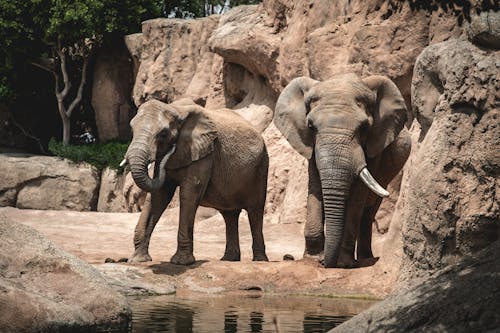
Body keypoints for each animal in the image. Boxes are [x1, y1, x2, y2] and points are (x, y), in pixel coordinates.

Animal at [125, 96, 270, 264]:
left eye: (163, 134)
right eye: (131, 129)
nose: (170, 150)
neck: (175, 109)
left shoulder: (205, 153)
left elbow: (189, 195)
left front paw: (181, 262)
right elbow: (159, 196)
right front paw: (138, 260)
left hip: (261, 166)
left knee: (255, 210)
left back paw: (259, 260)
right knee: (230, 214)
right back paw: (228, 259)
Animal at [274, 72, 410, 268]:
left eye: (364, 128)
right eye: (310, 126)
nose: (324, 262)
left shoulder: (373, 149)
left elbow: (357, 197)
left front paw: (344, 264)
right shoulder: (312, 150)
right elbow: (315, 189)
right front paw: (312, 259)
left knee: (368, 212)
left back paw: (365, 258)